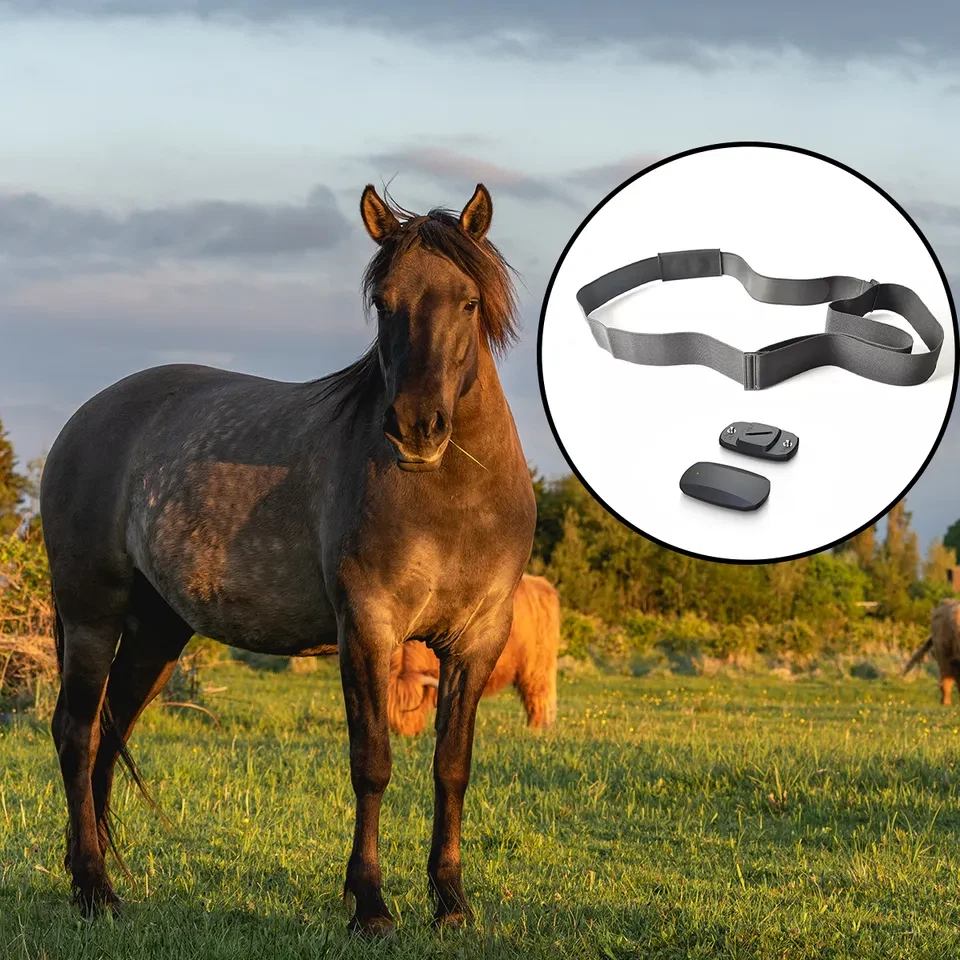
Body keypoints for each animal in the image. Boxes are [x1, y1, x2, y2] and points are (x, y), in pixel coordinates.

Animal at [39, 182, 537, 936]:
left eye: (469, 301)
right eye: (384, 301)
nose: (416, 427)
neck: (454, 498)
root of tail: (85, 419)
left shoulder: (478, 640)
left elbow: (452, 767)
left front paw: (451, 903)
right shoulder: (368, 629)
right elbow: (372, 763)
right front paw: (370, 905)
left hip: (156, 632)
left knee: (107, 731)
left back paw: (91, 883)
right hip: (92, 616)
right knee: (76, 734)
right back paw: (96, 890)